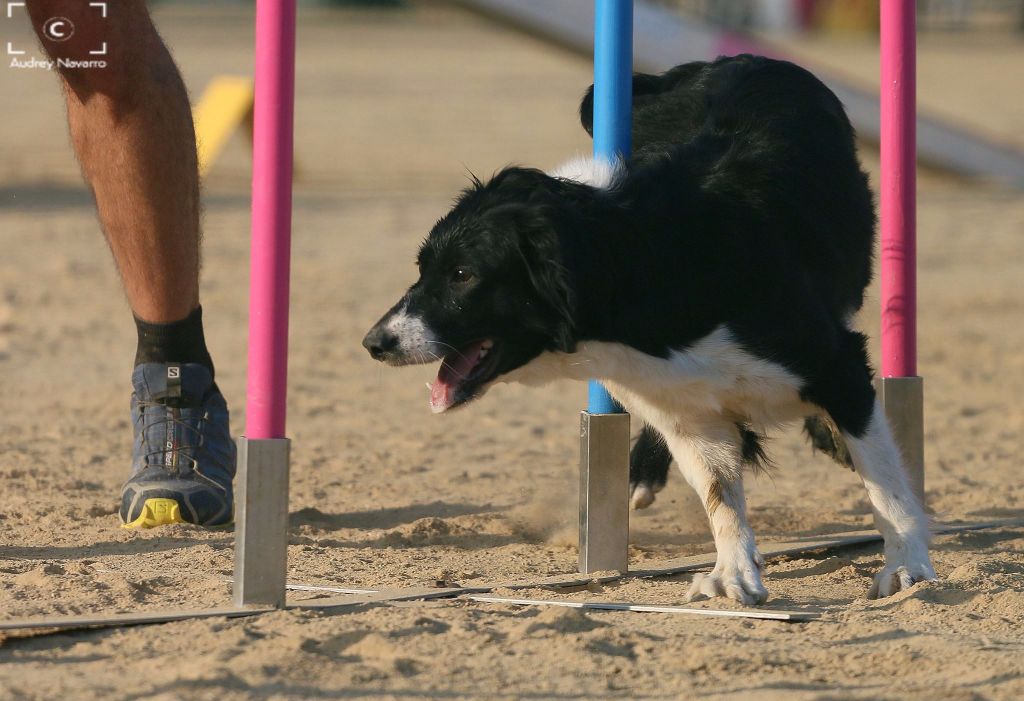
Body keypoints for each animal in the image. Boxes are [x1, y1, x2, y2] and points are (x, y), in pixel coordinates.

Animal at [362, 56, 937, 601]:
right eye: (422, 269)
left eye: (463, 275)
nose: (374, 343)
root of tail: (734, 58)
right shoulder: (685, 409)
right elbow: (720, 495)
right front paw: (733, 575)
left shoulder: (834, 363)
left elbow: (886, 483)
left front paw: (906, 568)